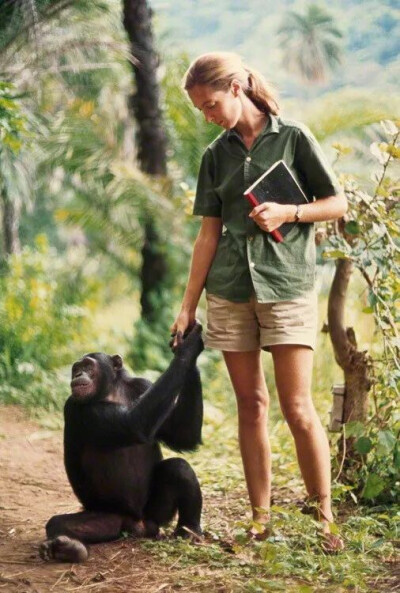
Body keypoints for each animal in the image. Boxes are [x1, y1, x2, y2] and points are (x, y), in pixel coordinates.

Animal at [39, 322, 205, 560]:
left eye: (87, 366)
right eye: (75, 368)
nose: (78, 373)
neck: (111, 392)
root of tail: (138, 526)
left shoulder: (144, 386)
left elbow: (183, 434)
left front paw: (191, 344)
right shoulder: (77, 408)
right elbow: (134, 423)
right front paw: (188, 348)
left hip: (156, 514)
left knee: (179, 468)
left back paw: (190, 531)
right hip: (110, 518)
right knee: (58, 523)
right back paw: (68, 547)